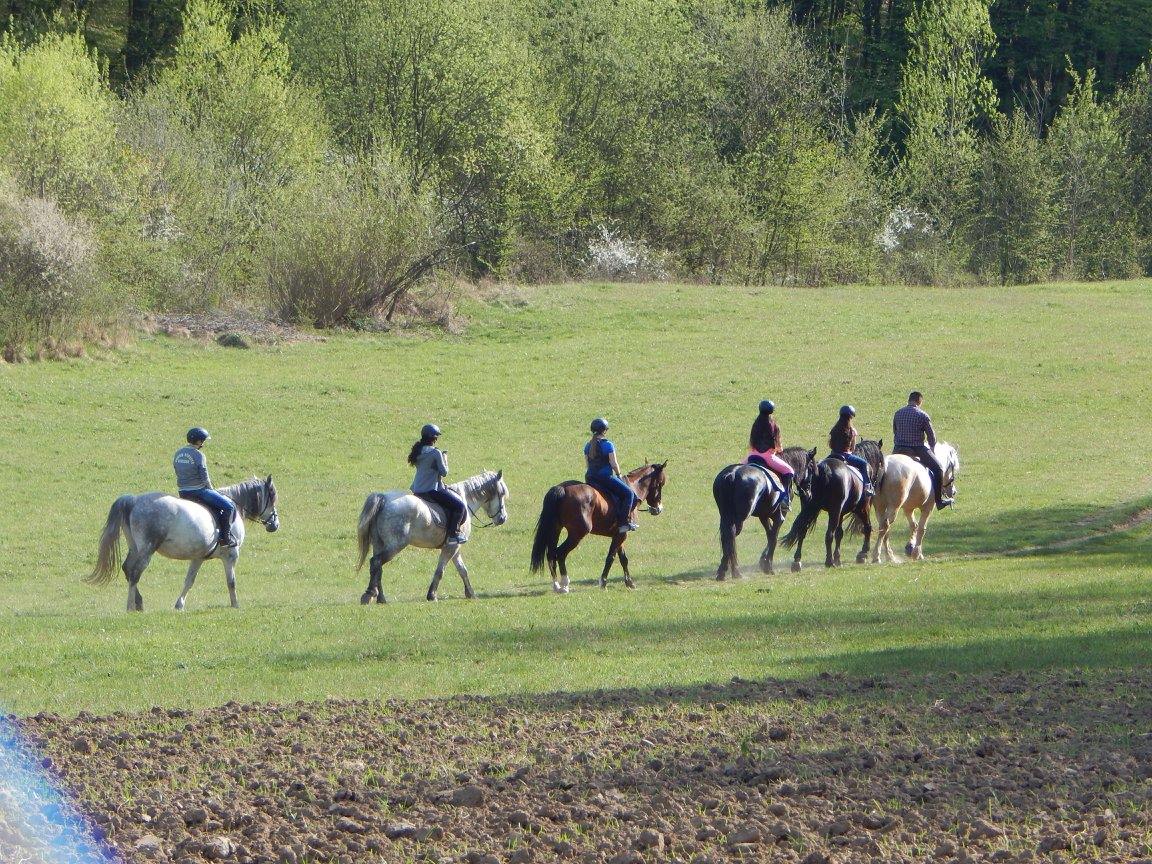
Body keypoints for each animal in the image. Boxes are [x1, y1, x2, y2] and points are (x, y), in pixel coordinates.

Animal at [85, 476, 281, 612]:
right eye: (272, 497)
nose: (275, 524)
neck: (235, 505)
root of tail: (133, 500)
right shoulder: (231, 556)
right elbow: (231, 581)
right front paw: (235, 604)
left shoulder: (198, 557)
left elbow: (189, 581)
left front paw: (179, 605)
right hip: (147, 550)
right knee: (134, 573)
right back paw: (130, 606)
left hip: (135, 547)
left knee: (127, 569)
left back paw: (138, 603)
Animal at [354, 470, 509, 603]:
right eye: (501, 493)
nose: (503, 518)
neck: (465, 500)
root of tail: (384, 499)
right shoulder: (451, 547)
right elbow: (440, 571)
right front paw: (432, 595)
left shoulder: (455, 547)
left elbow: (463, 570)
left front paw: (470, 593)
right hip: (395, 545)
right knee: (376, 562)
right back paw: (369, 594)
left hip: (379, 544)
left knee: (378, 567)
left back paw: (381, 598)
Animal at [527, 460, 668, 594]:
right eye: (660, 484)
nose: (658, 509)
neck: (632, 489)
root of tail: (562, 488)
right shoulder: (622, 534)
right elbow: (611, 557)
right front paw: (603, 582)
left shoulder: (619, 534)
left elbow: (623, 558)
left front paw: (629, 583)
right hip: (576, 534)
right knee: (560, 553)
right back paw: (565, 584)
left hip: (556, 529)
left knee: (551, 554)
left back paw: (556, 585)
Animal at [709, 446, 820, 582]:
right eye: (812, 468)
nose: (809, 494)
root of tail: (732, 474)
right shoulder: (779, 516)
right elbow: (773, 537)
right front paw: (768, 566)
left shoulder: (764, 516)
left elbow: (769, 533)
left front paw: (764, 561)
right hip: (739, 517)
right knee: (731, 535)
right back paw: (734, 571)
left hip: (726, 516)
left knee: (727, 537)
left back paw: (725, 571)